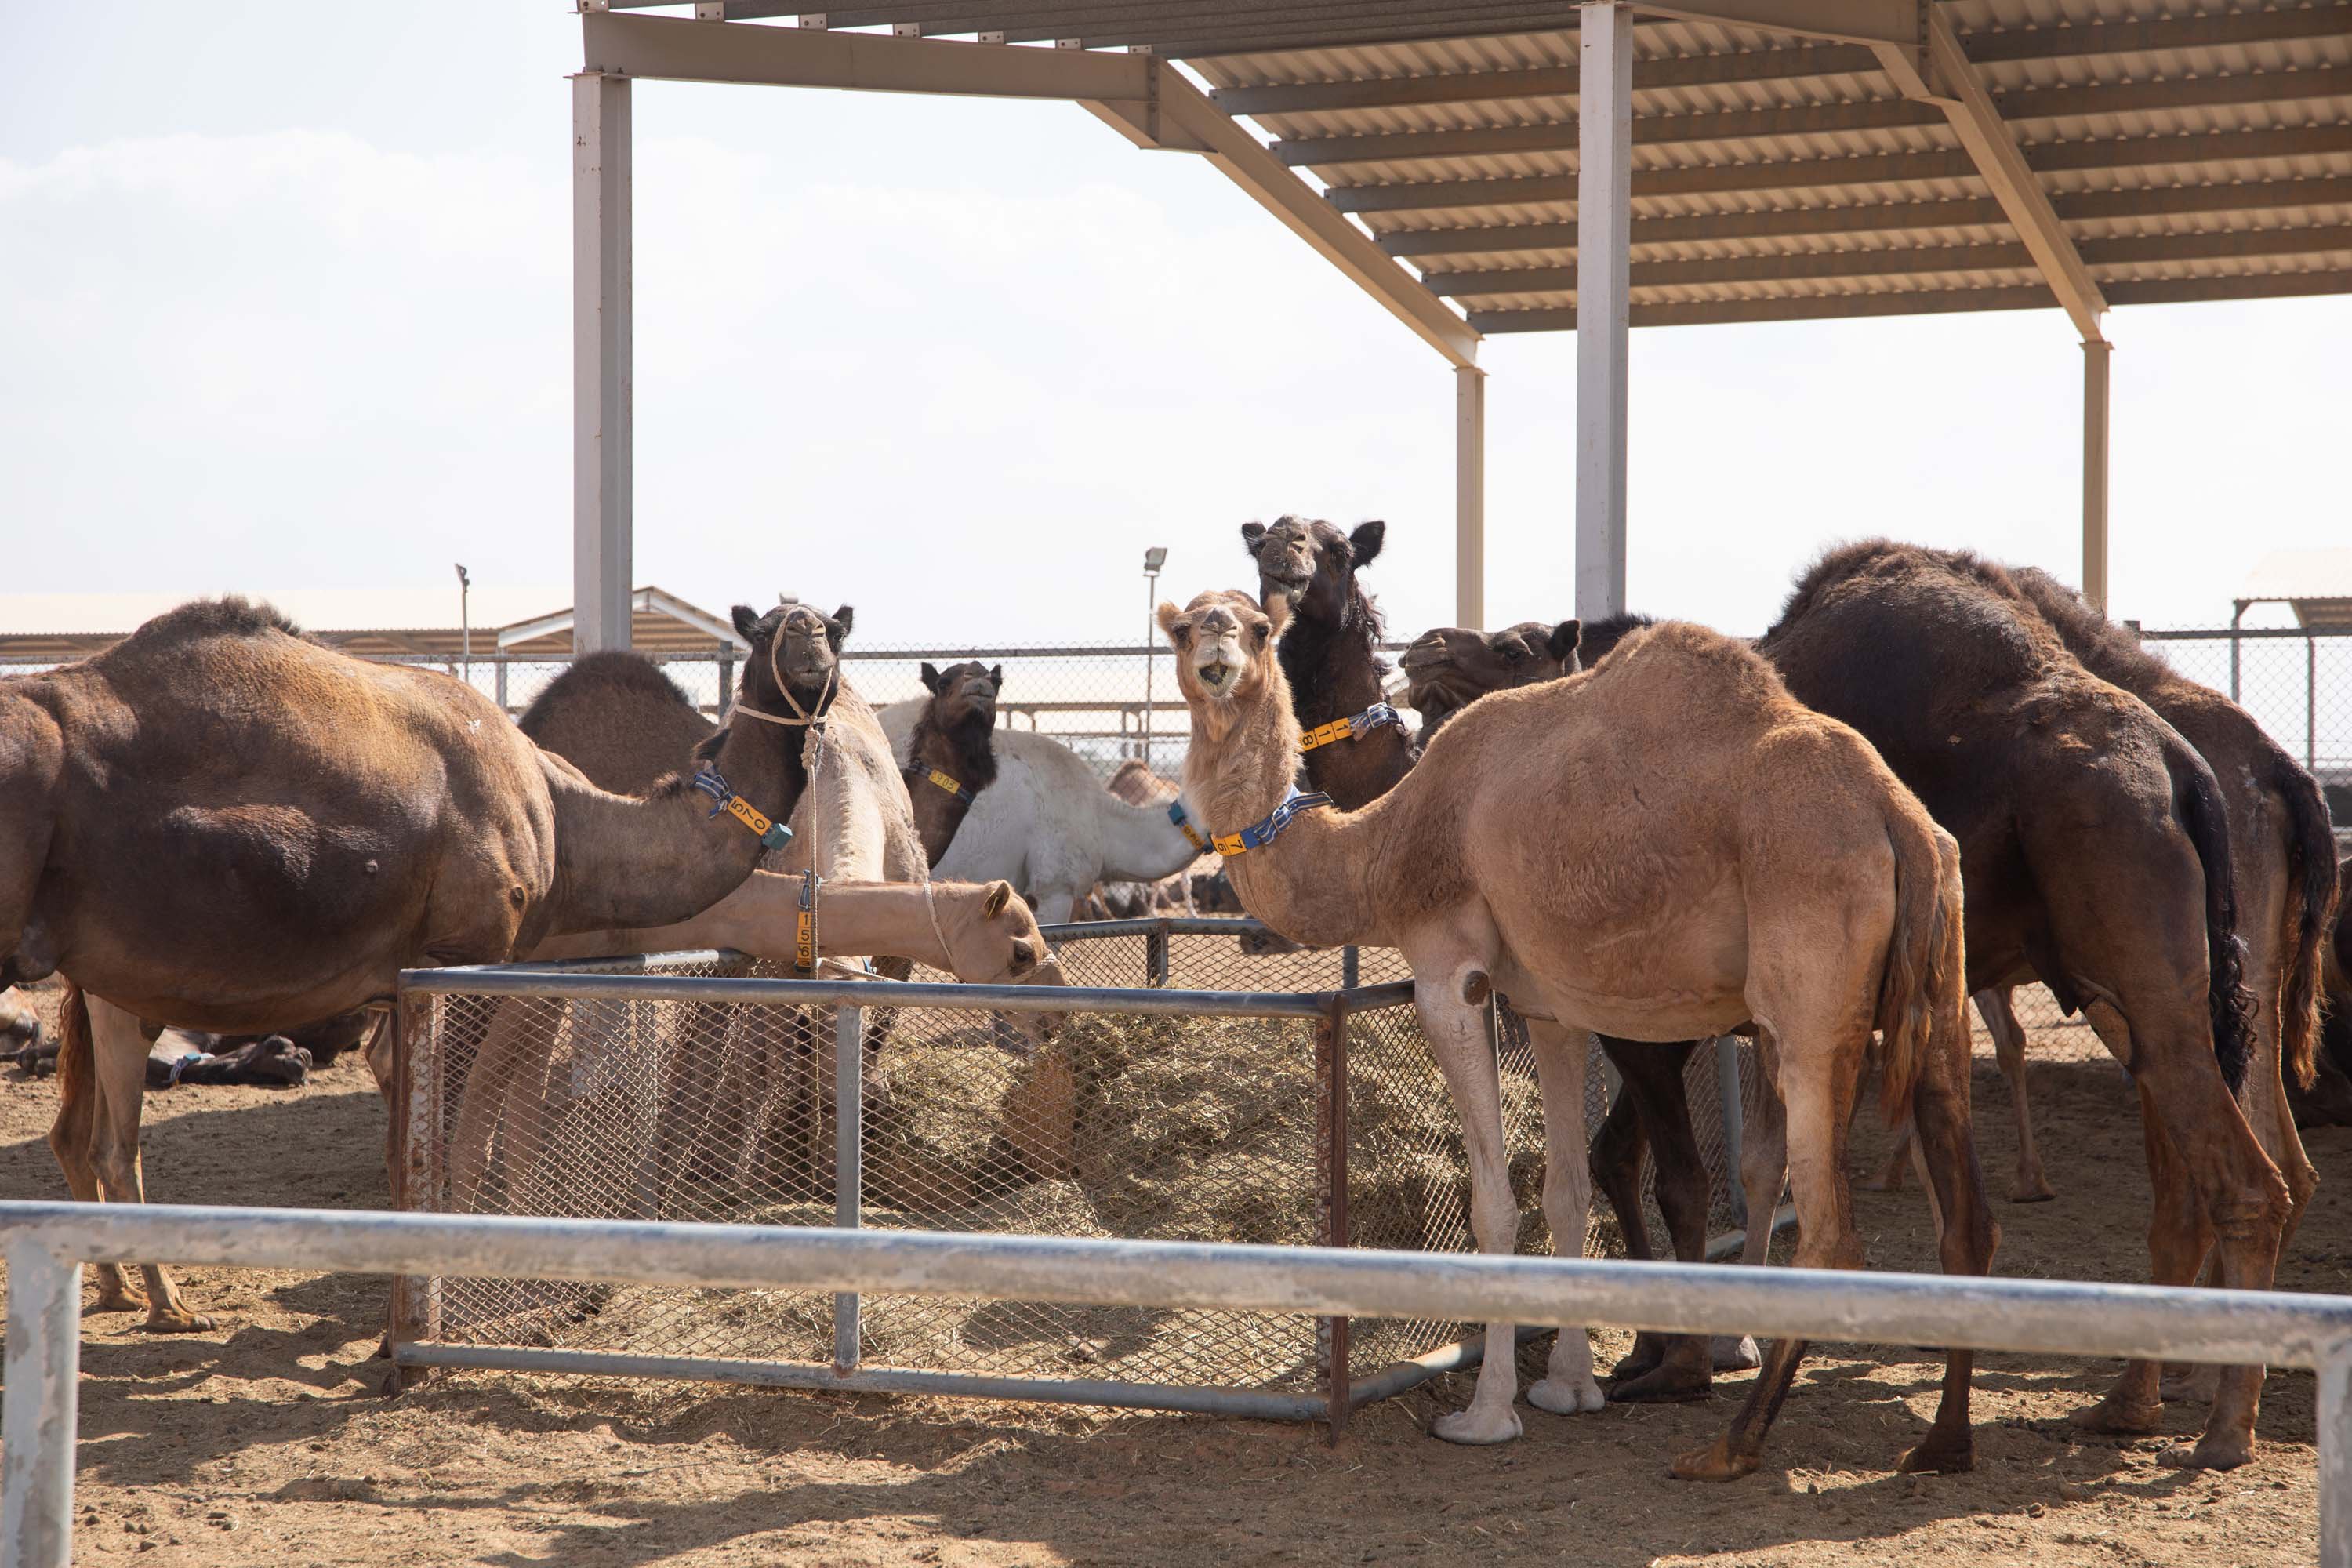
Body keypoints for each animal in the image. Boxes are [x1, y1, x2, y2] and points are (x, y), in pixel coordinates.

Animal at [18, 594, 851, 1335]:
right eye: (767, 629)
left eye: (832, 626)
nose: (809, 644)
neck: (565, 820)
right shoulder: (471, 961)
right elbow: (461, 1134)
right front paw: (430, 1317)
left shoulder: (420, 985)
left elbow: (422, 1141)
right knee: (113, 1143)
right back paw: (166, 1304)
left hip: (109, 987)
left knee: (87, 1134)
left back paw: (128, 1291)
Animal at [1157, 587, 1985, 1486]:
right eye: (1183, 626)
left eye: (1259, 625)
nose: (1218, 646)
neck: (1385, 844)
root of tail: (1896, 816)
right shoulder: (1548, 1005)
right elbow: (1566, 1189)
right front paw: (1568, 1386)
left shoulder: (1449, 970)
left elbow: (1493, 1201)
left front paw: (1486, 1414)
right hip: (1937, 984)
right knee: (1965, 1220)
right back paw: (1941, 1443)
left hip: (1808, 999)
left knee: (1833, 1230)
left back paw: (1731, 1445)